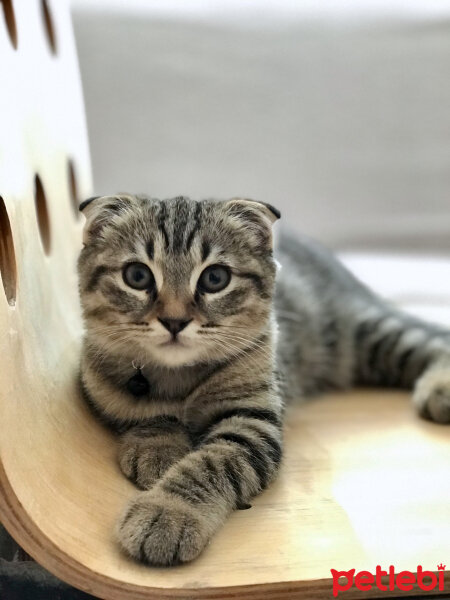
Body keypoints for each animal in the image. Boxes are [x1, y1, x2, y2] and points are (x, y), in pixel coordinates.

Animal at [77, 195, 450, 564]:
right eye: (137, 275)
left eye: (215, 278)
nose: (174, 321)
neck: (178, 375)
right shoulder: (102, 383)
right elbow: (145, 413)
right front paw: (159, 447)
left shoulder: (254, 420)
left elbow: (212, 463)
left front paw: (167, 512)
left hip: (366, 334)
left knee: (432, 338)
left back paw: (440, 389)